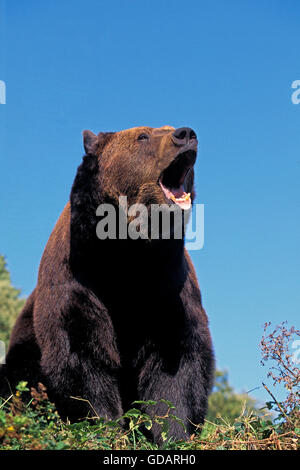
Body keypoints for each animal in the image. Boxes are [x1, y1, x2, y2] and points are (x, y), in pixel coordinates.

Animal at [0, 125, 216, 440]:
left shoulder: (168, 287)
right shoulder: (79, 284)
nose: (185, 134)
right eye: (143, 136)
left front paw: (173, 432)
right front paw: (107, 426)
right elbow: (82, 357)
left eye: (166, 129)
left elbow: (177, 363)